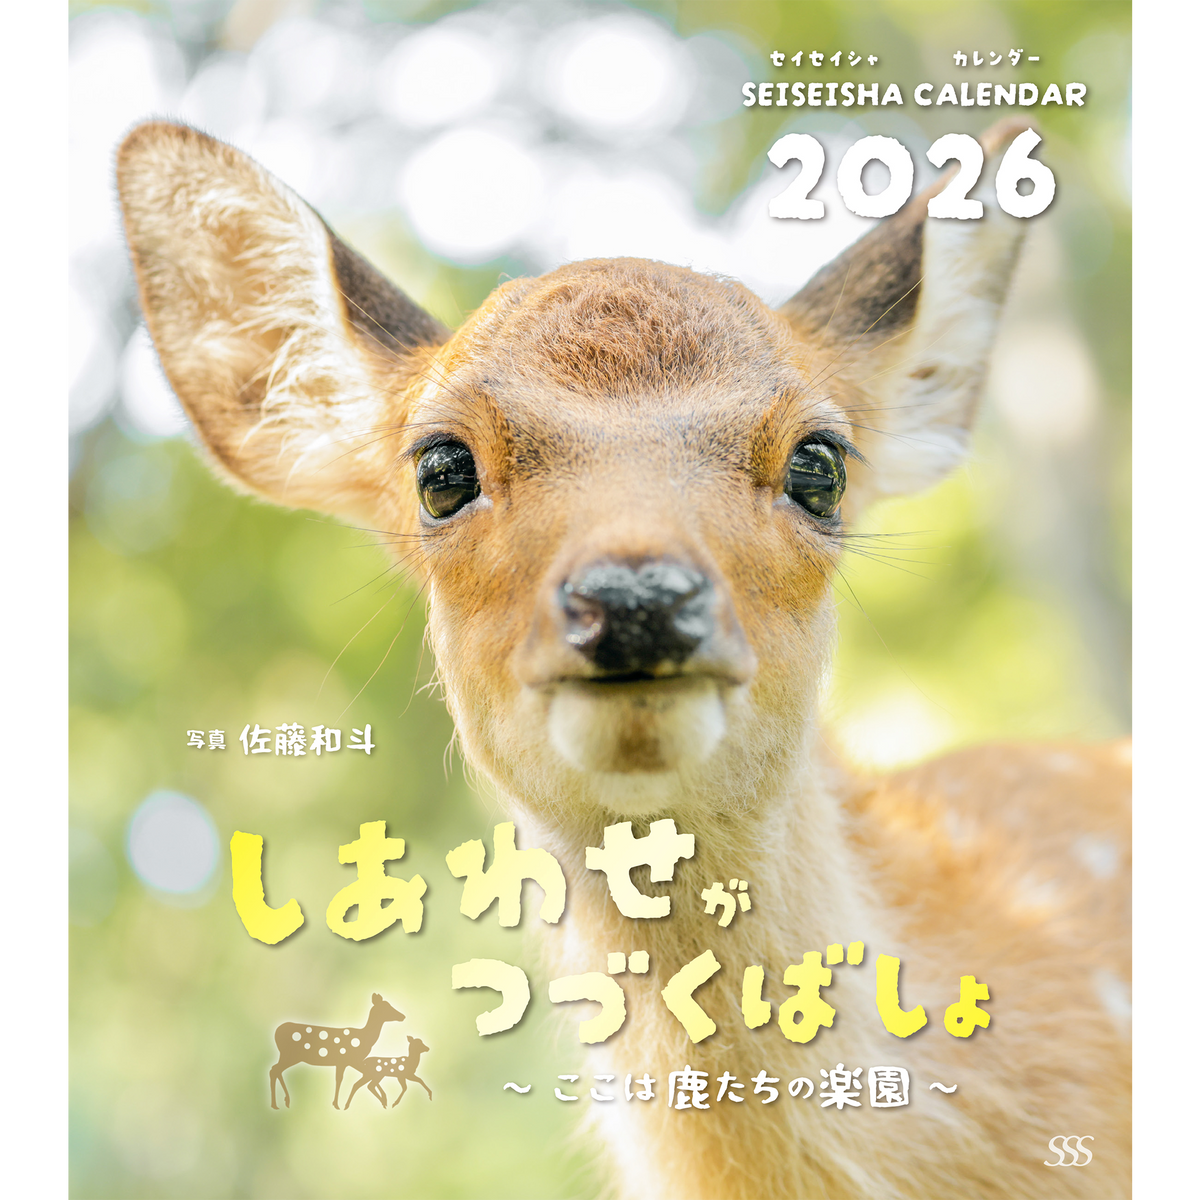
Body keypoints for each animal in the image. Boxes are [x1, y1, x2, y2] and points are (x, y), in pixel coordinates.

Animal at [269, 992, 405, 1110]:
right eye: (386, 1007)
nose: (403, 1016)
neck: (364, 1038)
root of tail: (276, 1032)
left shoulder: (349, 1062)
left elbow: (351, 1076)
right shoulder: (348, 1060)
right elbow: (342, 1079)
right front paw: (337, 1104)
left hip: (287, 1056)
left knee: (275, 1070)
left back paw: (282, 1102)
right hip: (290, 1055)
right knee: (274, 1070)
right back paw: (278, 1103)